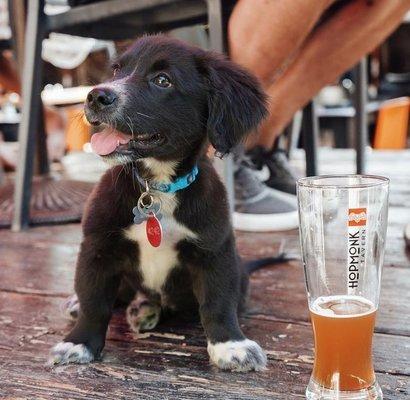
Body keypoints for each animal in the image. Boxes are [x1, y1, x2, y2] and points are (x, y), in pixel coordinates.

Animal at [50, 34, 270, 372]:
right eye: (116, 70)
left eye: (162, 80)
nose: (96, 96)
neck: (155, 186)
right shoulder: (98, 246)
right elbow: (94, 302)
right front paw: (79, 342)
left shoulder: (215, 251)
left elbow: (218, 303)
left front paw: (231, 345)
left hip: (237, 272)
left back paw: (146, 309)